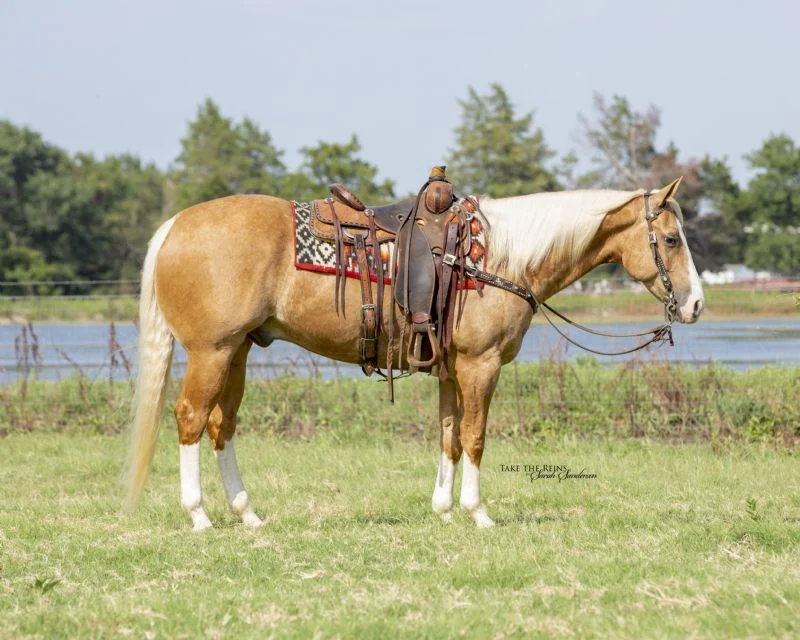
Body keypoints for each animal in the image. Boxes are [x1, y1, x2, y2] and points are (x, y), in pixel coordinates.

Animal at [124, 177, 704, 529]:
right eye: (672, 239)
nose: (696, 303)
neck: (496, 258)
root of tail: (177, 224)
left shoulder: (452, 370)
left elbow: (449, 437)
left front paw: (444, 509)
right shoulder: (480, 365)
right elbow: (475, 437)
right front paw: (478, 512)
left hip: (238, 352)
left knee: (222, 426)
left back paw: (247, 515)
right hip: (212, 351)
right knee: (191, 418)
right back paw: (199, 515)